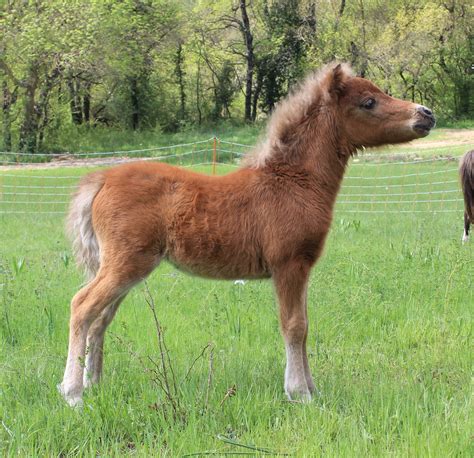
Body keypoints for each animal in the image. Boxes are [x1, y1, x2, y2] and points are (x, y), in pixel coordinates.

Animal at [60, 62, 436, 406]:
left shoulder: (302, 268)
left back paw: (94, 384)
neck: (293, 182)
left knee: (100, 318)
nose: (426, 114)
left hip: (127, 268)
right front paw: (299, 393)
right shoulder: (288, 265)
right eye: (369, 102)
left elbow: (305, 325)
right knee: (82, 306)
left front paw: (312, 389)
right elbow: (294, 325)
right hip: (126, 263)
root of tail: (102, 179)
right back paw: (73, 393)